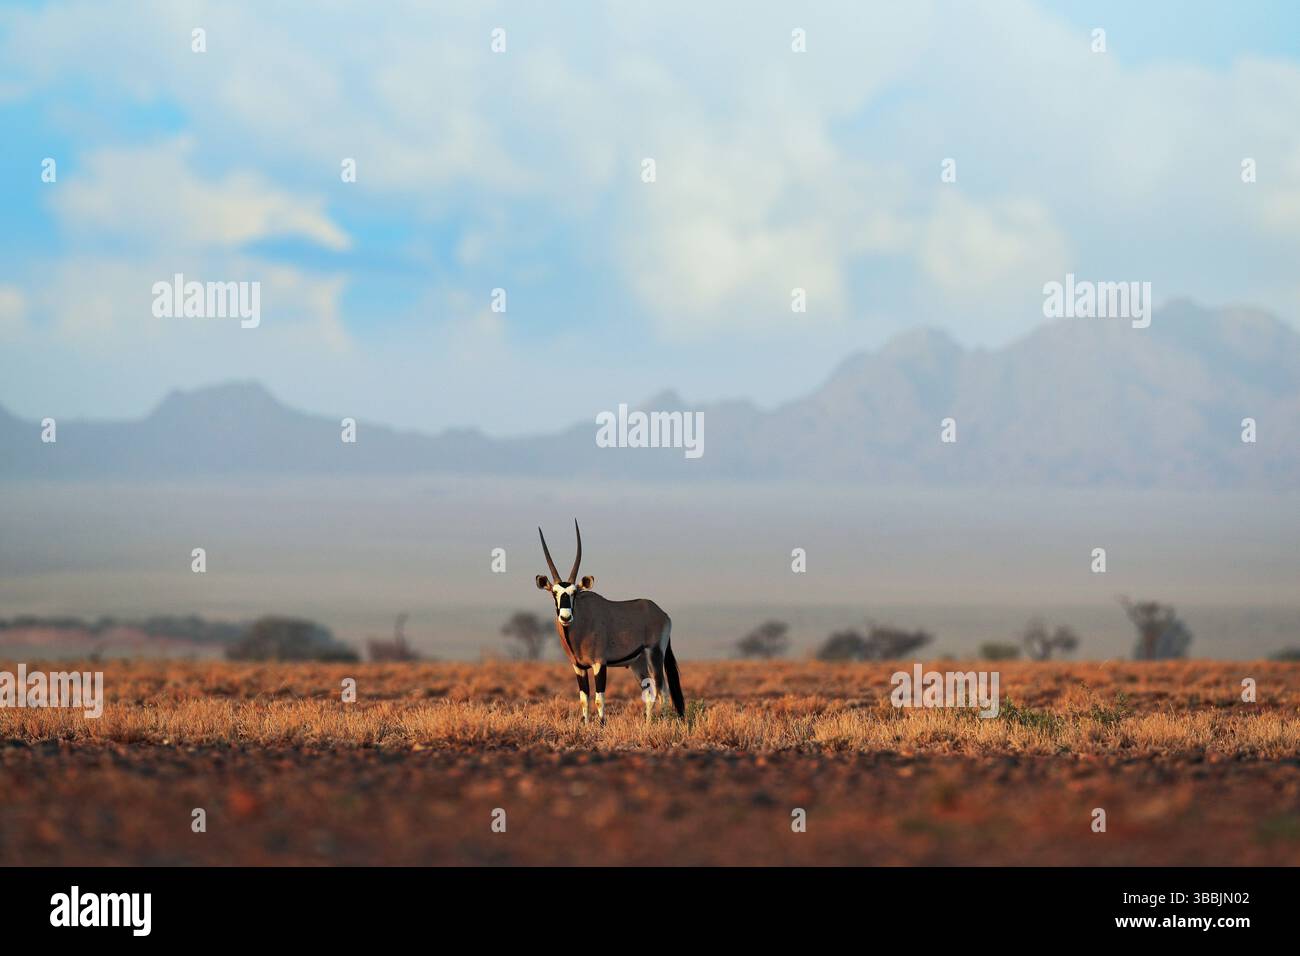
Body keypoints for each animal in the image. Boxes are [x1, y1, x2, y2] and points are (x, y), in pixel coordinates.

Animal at [536, 521, 685, 724]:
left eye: (575, 592)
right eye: (554, 593)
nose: (566, 617)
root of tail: (662, 613)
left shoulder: (600, 663)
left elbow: (599, 698)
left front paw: (601, 725)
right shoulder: (578, 667)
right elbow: (584, 699)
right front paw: (585, 725)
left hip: (655, 653)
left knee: (662, 691)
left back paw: (662, 723)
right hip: (638, 662)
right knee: (649, 692)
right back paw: (647, 725)